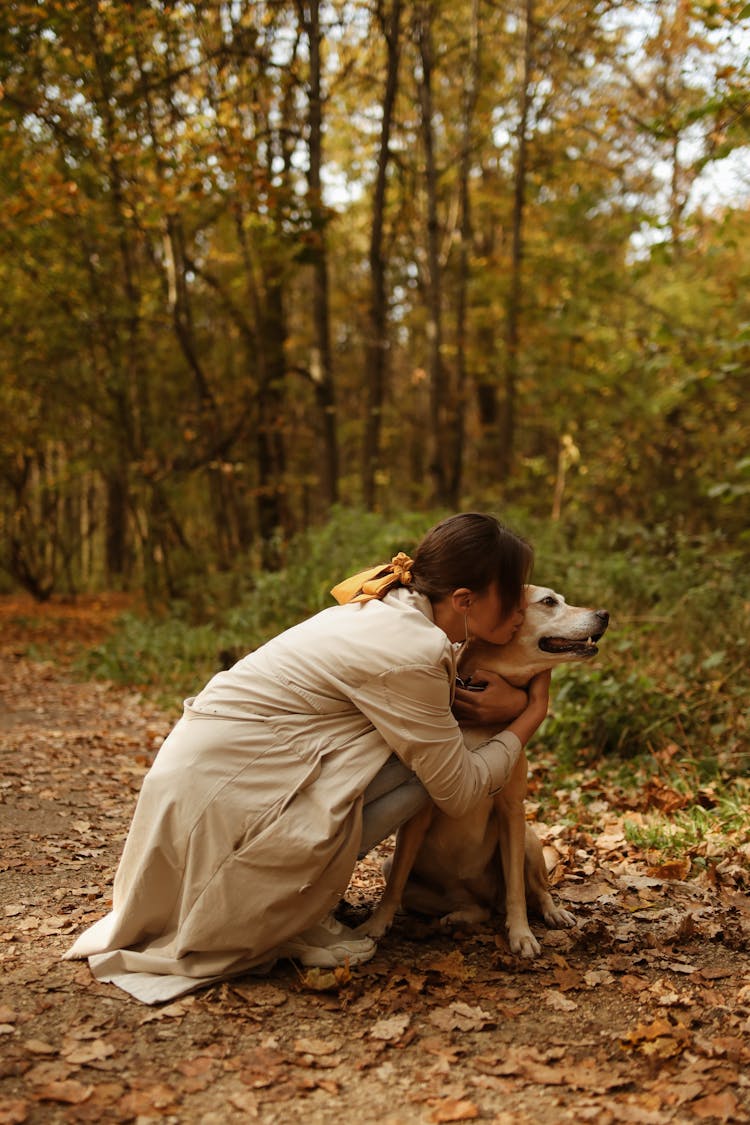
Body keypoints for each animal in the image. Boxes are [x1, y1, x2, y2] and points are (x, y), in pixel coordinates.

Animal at [362, 589, 611, 958]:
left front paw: (521, 934)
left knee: (535, 890)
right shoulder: (417, 818)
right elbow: (393, 888)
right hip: (393, 866)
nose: (605, 614)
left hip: (529, 841)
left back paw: (553, 913)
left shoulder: (512, 812)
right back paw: (458, 916)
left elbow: (517, 890)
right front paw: (375, 925)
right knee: (470, 907)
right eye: (549, 601)